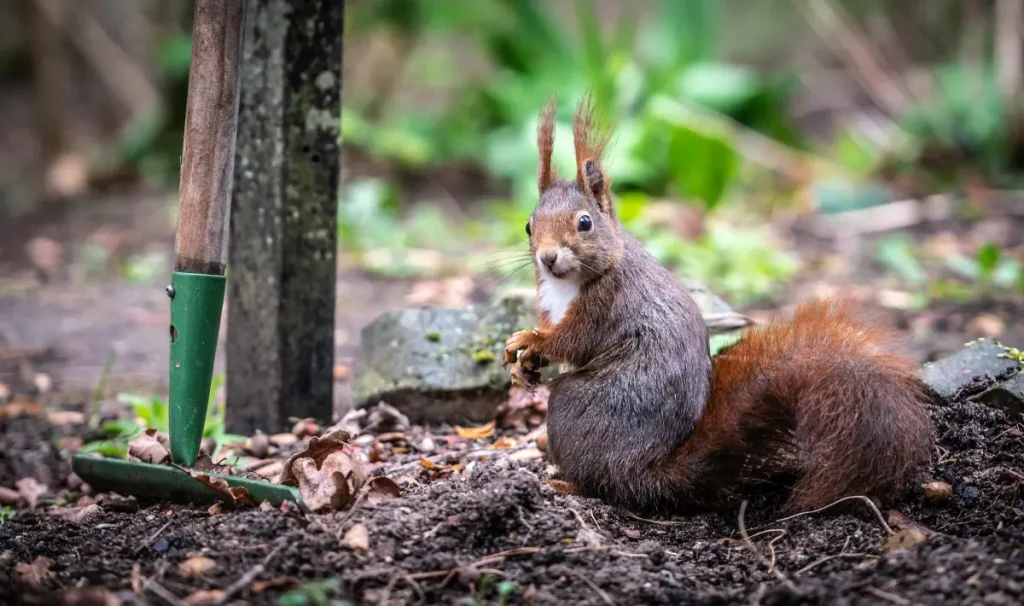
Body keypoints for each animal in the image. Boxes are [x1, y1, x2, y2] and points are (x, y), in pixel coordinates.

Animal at [503, 96, 935, 513]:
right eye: (528, 225)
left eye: (585, 223)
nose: (547, 258)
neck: (567, 284)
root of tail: (644, 471)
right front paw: (523, 364)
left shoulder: (608, 304)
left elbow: (573, 341)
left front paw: (530, 341)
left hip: (573, 411)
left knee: (601, 483)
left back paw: (566, 482)